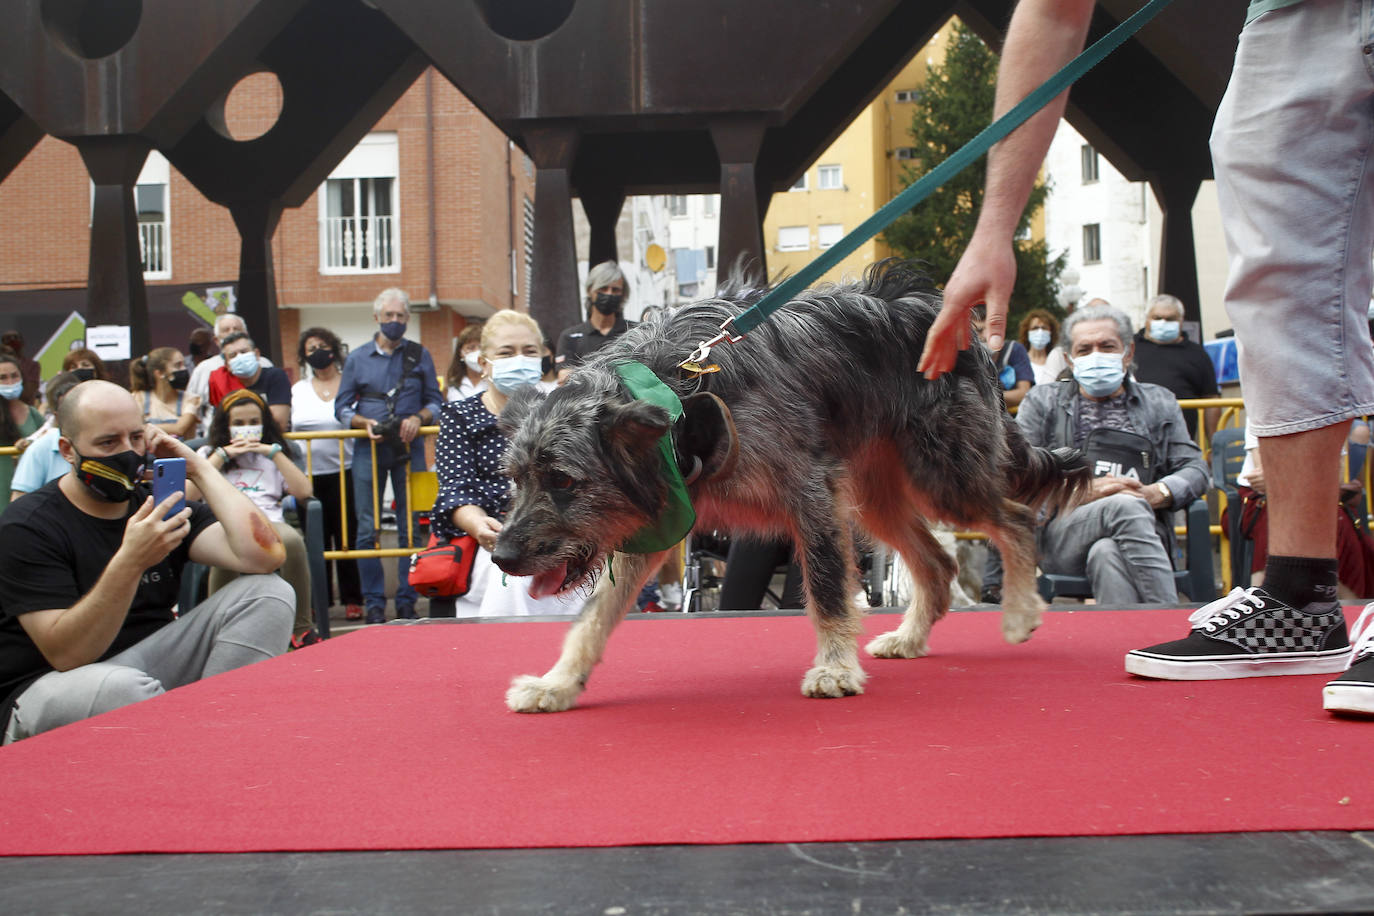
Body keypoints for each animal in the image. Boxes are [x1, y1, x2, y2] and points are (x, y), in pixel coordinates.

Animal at [500, 260, 1088, 714]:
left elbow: (827, 589)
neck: (679, 389)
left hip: (944, 476)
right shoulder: (661, 518)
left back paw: (1018, 612)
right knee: (939, 563)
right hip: (875, 499)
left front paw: (835, 668)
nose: (501, 556)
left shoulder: (811, 493)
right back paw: (911, 636)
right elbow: (592, 619)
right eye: (515, 479)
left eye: (562, 479)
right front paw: (559, 684)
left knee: (1016, 519)